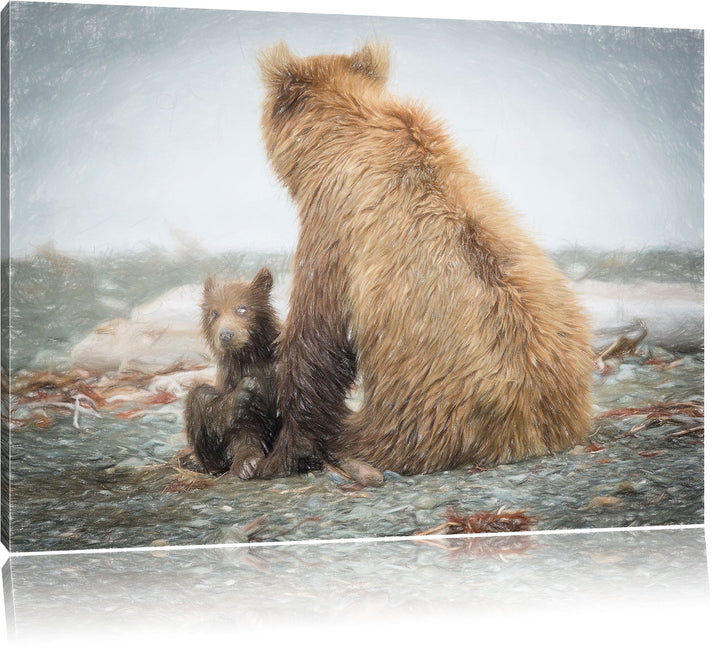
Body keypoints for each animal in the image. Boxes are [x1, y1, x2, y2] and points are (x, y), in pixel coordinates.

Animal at [184, 267, 282, 478]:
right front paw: (247, 463)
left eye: (242, 308)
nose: (226, 334)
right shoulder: (231, 377)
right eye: (214, 313)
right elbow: (242, 426)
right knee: (199, 396)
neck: (251, 356)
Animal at [251, 42, 595, 479]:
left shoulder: (333, 224)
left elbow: (316, 336)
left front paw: (280, 452)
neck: (341, 138)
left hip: (422, 413)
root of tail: (531, 429)